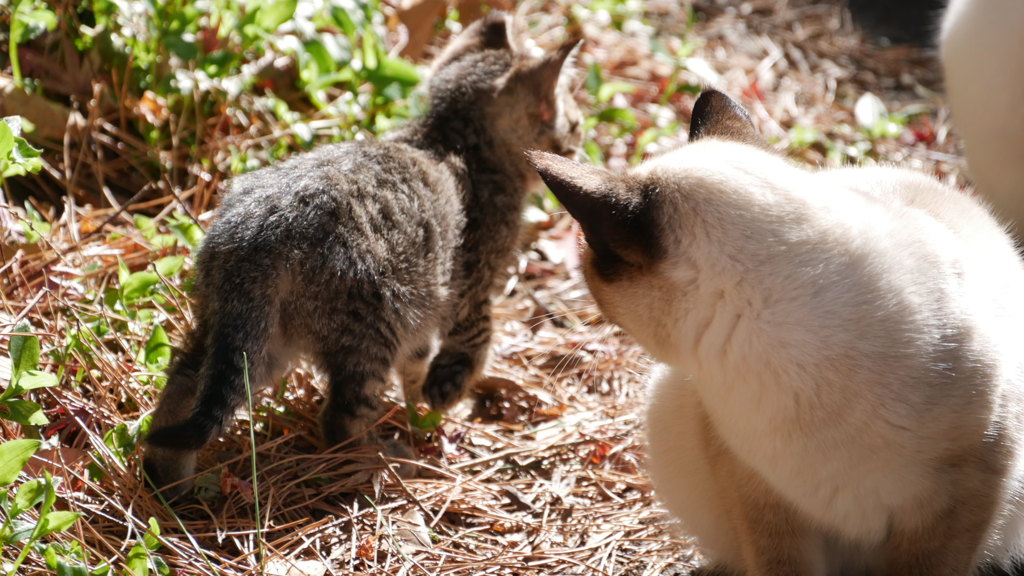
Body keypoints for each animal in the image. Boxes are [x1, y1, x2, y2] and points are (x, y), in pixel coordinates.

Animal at [142, 12, 585, 498]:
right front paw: (445, 393)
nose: (580, 142)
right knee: (340, 418)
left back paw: (169, 483)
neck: (448, 140)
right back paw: (381, 463)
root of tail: (255, 233)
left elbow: (417, 360)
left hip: (245, 330)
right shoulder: (470, 284)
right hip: (368, 326)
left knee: (185, 384)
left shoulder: (428, 303)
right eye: (575, 122)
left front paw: (419, 403)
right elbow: (474, 341)